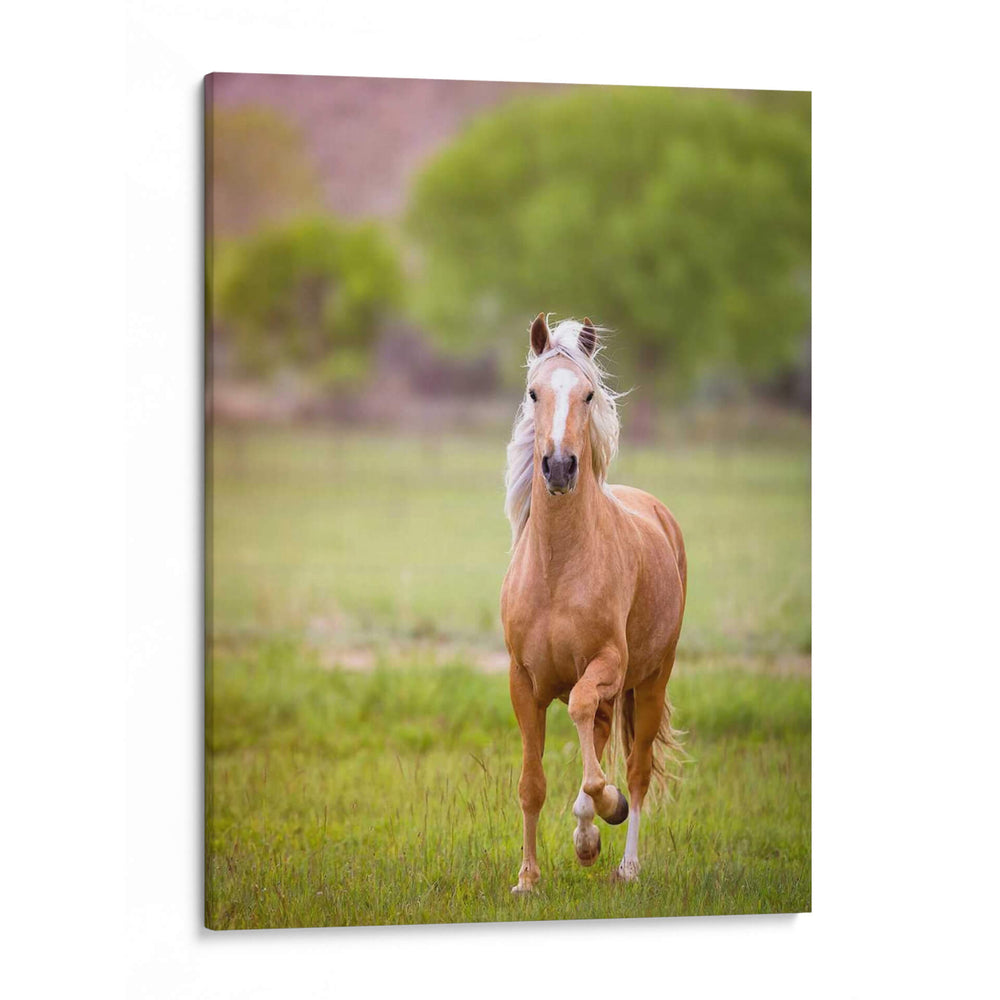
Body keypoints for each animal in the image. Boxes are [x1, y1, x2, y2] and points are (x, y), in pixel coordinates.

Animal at [500, 313, 687, 892]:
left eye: (587, 394)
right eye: (533, 393)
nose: (560, 467)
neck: (558, 570)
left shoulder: (608, 665)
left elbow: (584, 718)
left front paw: (610, 805)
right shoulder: (523, 681)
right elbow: (532, 784)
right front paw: (527, 879)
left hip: (651, 681)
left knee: (637, 768)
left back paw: (625, 862)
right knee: (600, 743)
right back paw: (588, 841)